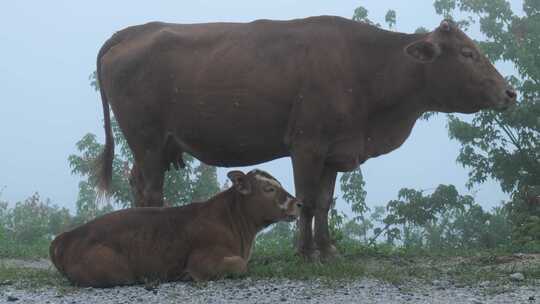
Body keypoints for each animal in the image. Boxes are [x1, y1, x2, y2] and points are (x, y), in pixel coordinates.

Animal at [50, 170, 302, 286]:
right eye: (268, 189)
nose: (298, 203)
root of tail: (66, 236)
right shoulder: (204, 260)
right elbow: (240, 265)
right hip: (114, 270)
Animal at [95, 16, 516, 258]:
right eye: (467, 53)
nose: (510, 92)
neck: (366, 66)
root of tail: (132, 32)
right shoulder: (307, 144)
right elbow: (308, 201)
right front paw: (305, 252)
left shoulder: (334, 150)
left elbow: (325, 202)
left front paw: (328, 249)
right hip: (148, 140)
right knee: (152, 192)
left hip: (156, 145)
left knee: (138, 185)